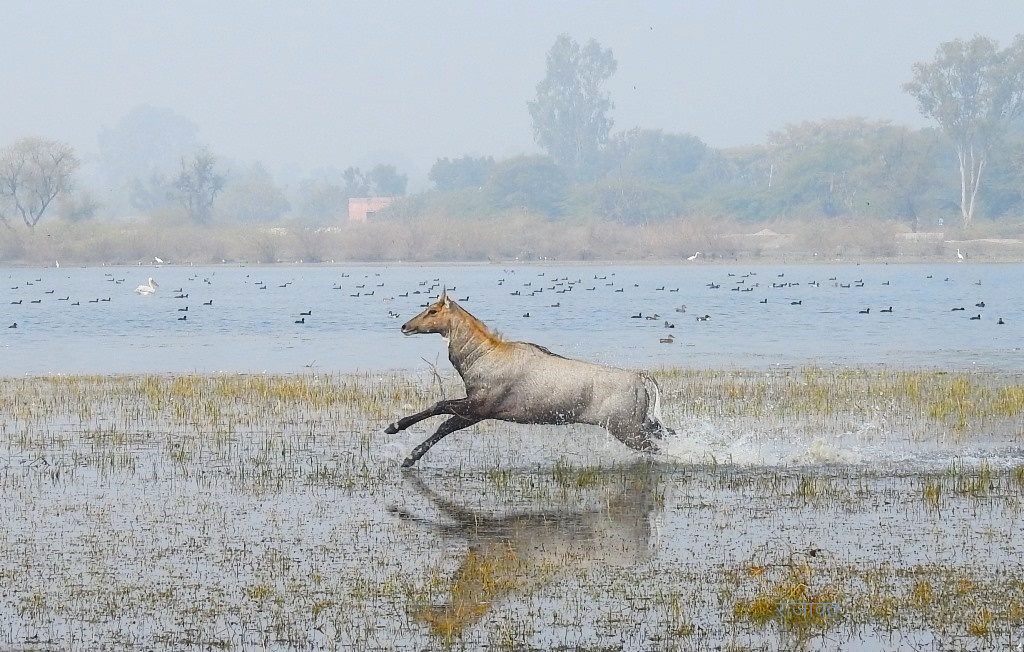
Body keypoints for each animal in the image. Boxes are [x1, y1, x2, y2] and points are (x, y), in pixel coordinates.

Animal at [385, 286, 671, 464]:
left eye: (433, 310)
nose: (405, 326)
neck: (482, 355)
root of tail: (640, 379)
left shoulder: (478, 408)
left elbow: (441, 413)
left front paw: (405, 449)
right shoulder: (476, 409)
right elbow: (440, 414)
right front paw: (397, 433)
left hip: (626, 430)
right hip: (642, 425)